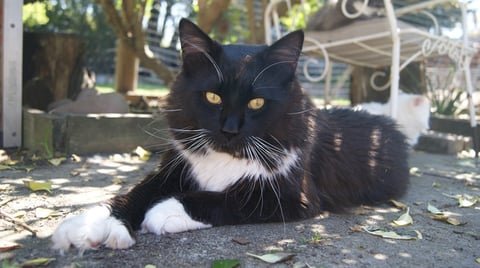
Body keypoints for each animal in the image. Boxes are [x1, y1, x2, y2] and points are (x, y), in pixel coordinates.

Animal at [51, 19, 408, 255]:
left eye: (257, 103)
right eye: (212, 97)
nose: (230, 129)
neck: (226, 157)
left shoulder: (291, 196)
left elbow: (225, 198)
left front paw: (164, 211)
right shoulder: (173, 168)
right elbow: (135, 192)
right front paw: (89, 226)